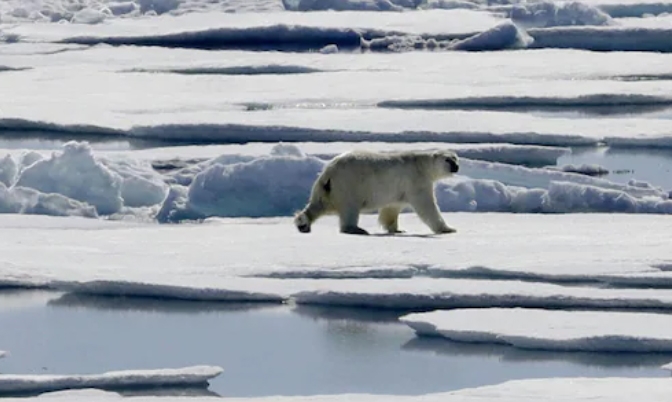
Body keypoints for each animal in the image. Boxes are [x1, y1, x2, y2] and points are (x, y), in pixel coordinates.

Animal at [296, 149, 460, 234]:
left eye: (455, 158)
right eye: (448, 160)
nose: (457, 167)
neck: (421, 164)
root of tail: (329, 172)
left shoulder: (399, 189)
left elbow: (392, 208)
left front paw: (396, 229)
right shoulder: (416, 181)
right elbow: (427, 206)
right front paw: (448, 229)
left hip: (325, 188)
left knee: (318, 204)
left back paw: (303, 224)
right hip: (349, 185)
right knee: (349, 208)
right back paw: (356, 229)